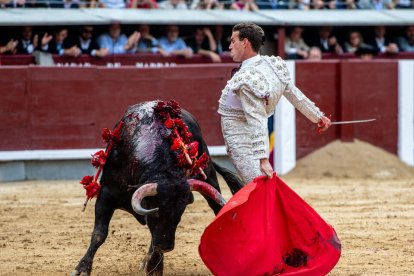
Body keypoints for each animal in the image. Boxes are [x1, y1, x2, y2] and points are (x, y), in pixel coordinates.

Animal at [71, 101, 243, 276]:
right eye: (156, 212)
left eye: (180, 214)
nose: (166, 247)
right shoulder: (106, 194)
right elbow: (99, 233)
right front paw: (82, 269)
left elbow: (154, 238)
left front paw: (154, 266)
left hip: (208, 173)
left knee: (216, 206)